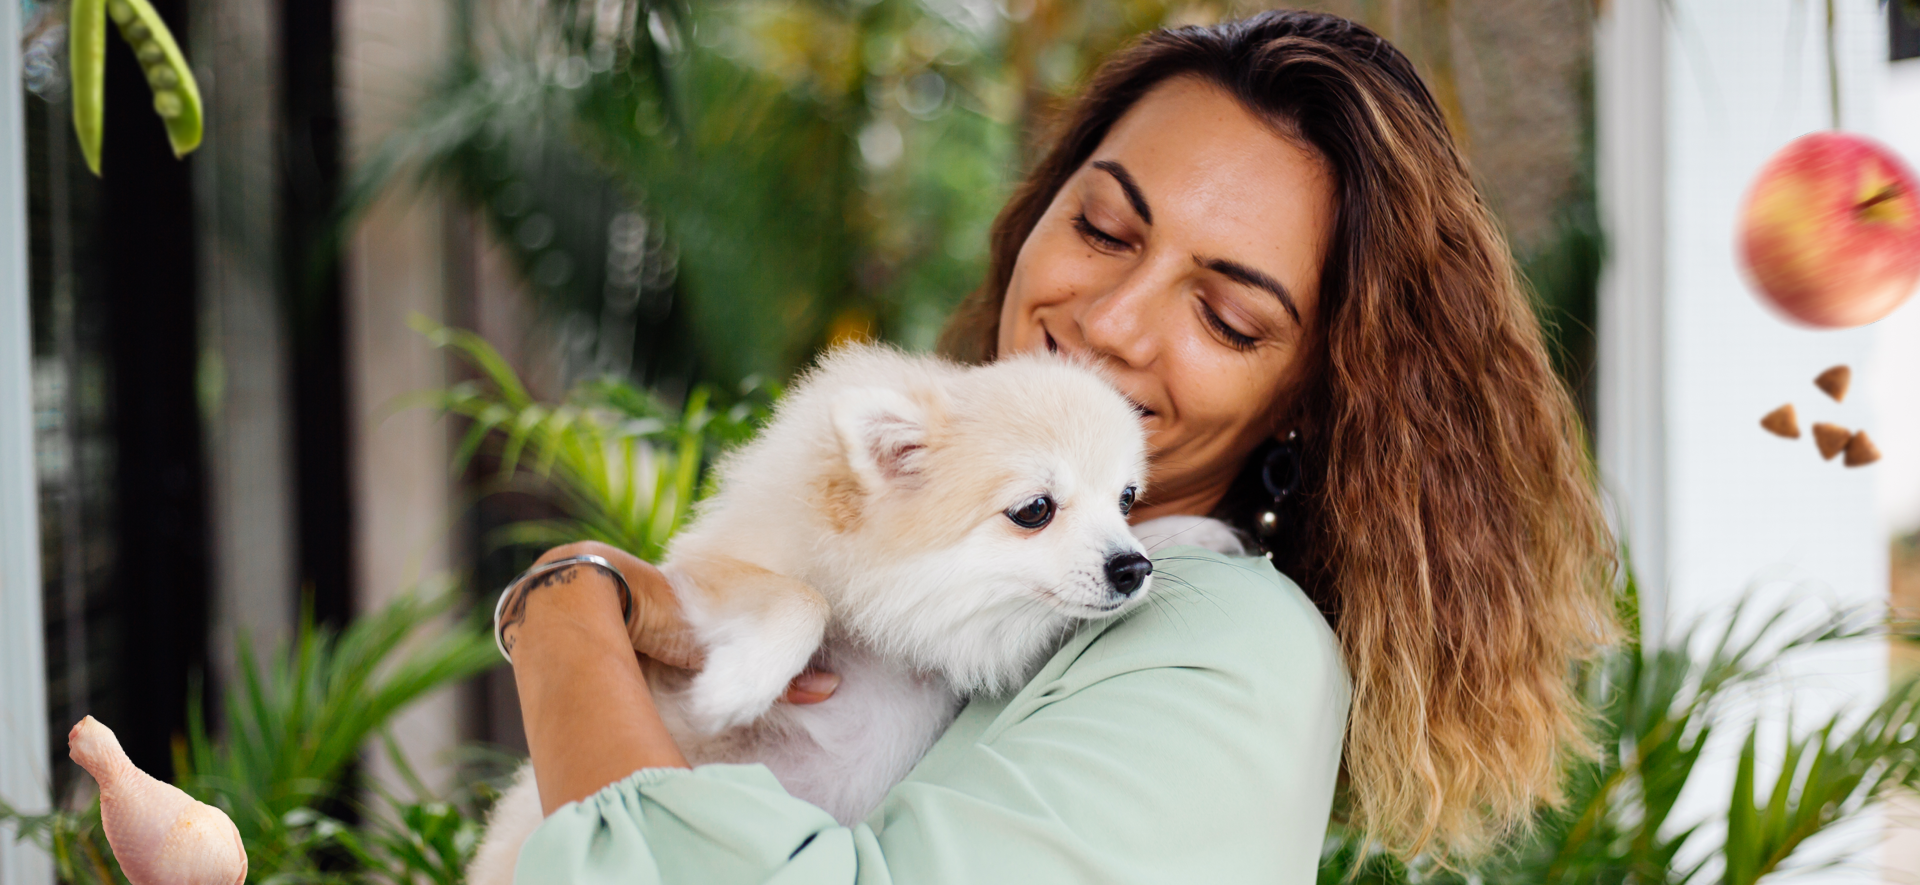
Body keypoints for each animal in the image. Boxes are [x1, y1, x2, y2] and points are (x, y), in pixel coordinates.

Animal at [468, 345, 1152, 883]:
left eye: (1126, 499)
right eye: (1035, 509)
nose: (1135, 566)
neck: (892, 633)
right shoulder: (703, 572)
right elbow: (805, 600)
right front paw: (737, 685)